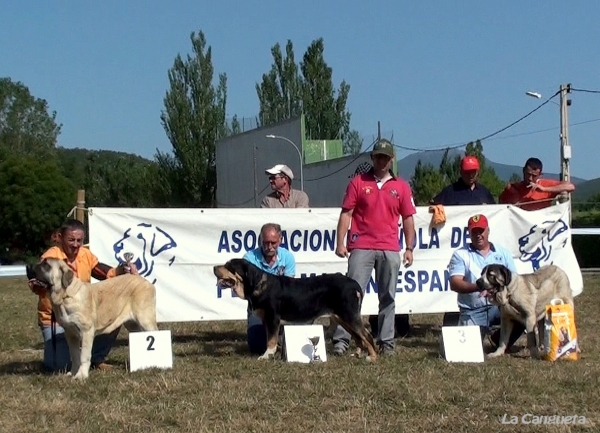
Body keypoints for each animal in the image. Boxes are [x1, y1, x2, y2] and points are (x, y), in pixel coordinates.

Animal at [213, 258, 378, 360]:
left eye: (229, 267)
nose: (214, 267)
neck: (258, 285)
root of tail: (353, 283)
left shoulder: (273, 319)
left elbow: (271, 340)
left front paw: (266, 355)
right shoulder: (268, 321)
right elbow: (270, 338)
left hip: (349, 315)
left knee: (367, 335)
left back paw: (372, 357)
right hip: (342, 318)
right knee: (359, 337)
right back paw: (357, 355)